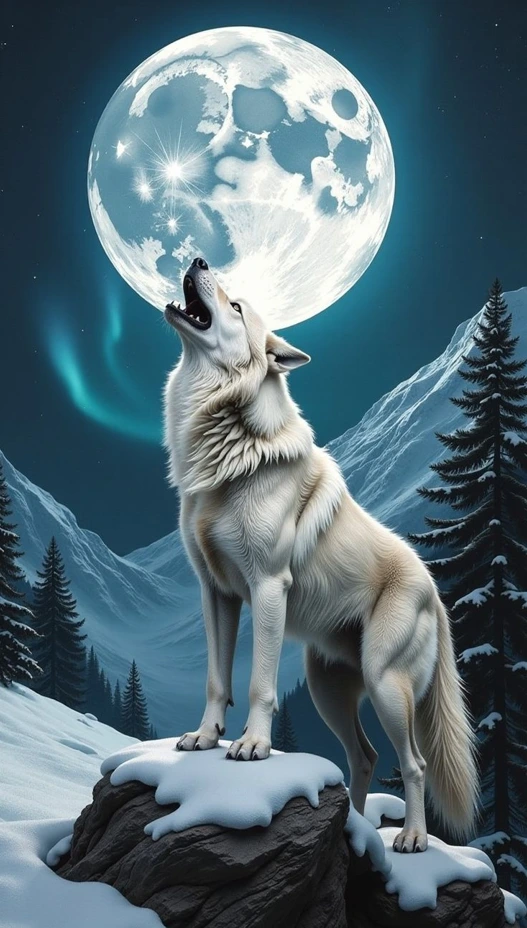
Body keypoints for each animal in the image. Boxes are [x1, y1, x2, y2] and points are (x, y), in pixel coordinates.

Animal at [163, 256, 478, 852]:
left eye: (236, 306)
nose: (197, 259)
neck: (225, 440)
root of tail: (436, 592)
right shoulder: (215, 592)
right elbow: (218, 679)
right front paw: (205, 736)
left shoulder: (267, 587)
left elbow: (259, 684)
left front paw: (252, 747)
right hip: (325, 688)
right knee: (365, 756)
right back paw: (356, 830)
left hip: (385, 684)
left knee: (415, 763)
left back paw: (411, 839)